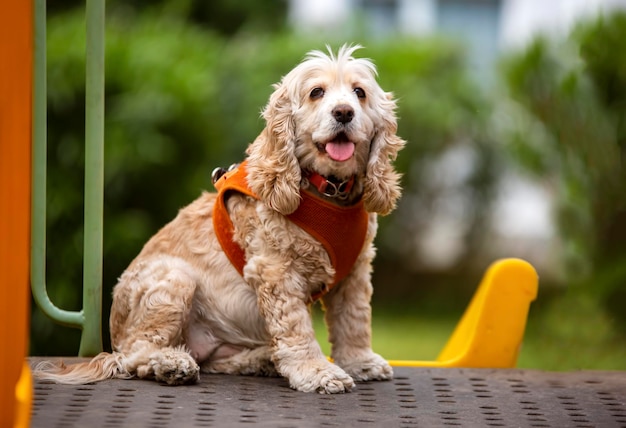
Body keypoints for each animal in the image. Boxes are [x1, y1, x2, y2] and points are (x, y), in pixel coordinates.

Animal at [35, 44, 404, 394]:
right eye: (316, 92)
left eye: (359, 93)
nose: (344, 112)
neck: (327, 191)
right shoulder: (275, 272)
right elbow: (297, 329)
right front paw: (317, 372)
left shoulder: (355, 272)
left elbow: (354, 320)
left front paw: (359, 361)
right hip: (175, 279)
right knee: (135, 354)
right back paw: (172, 364)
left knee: (210, 360)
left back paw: (261, 359)